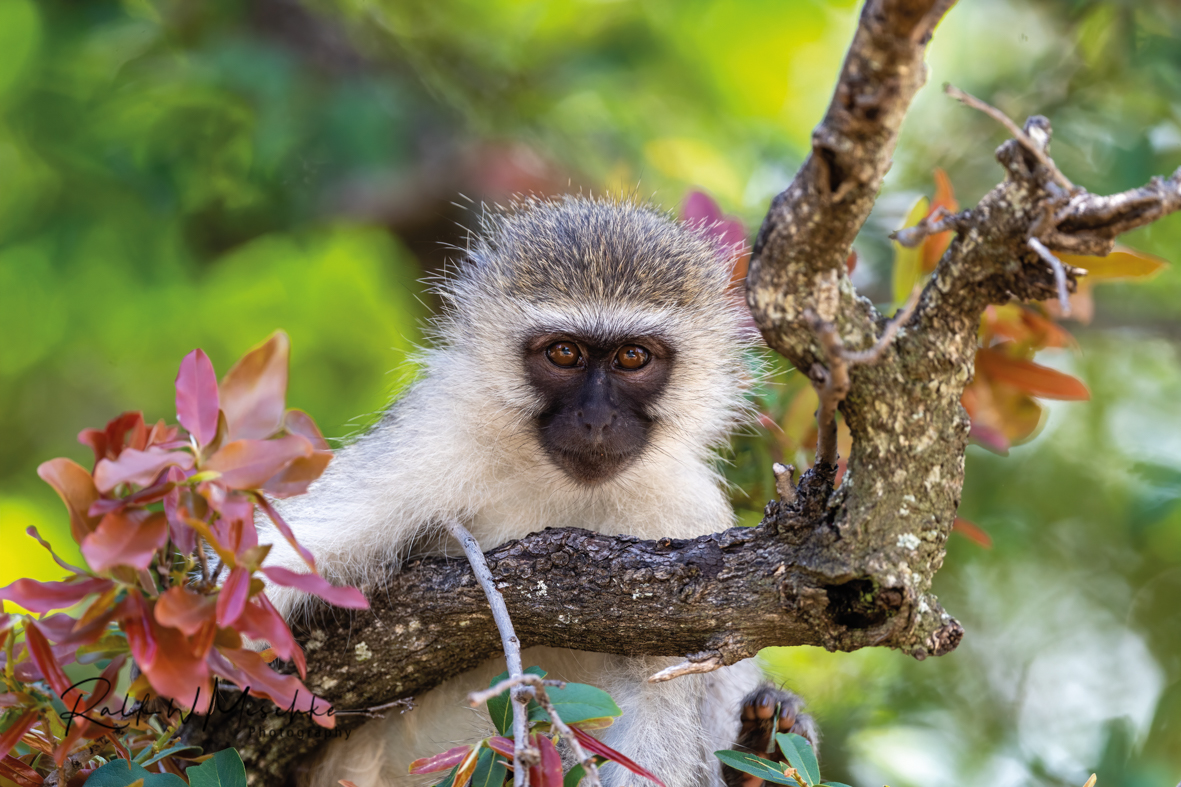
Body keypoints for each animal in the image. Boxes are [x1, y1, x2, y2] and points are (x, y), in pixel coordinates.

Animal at [261, 196, 812, 784]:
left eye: (632, 357)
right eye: (564, 353)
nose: (596, 419)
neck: (564, 489)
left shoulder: (683, 518)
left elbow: (663, 683)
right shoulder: (432, 446)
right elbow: (283, 553)